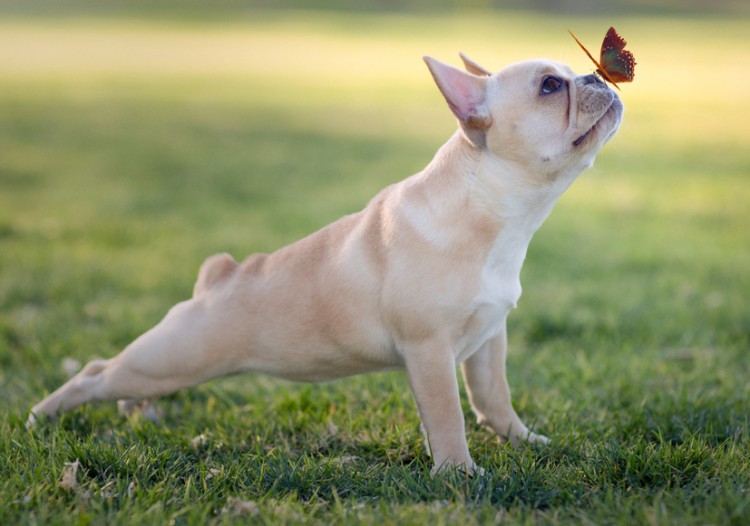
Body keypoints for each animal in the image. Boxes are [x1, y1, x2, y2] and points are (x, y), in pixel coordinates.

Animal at [26, 52, 624, 474]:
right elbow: (449, 416)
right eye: (550, 87)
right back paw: (41, 416)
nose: (596, 79)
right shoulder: (429, 350)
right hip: (173, 355)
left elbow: (493, 398)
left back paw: (135, 413)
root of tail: (216, 281)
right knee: (97, 373)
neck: (492, 207)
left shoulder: (487, 338)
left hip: (169, 366)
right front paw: (459, 474)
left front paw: (525, 441)